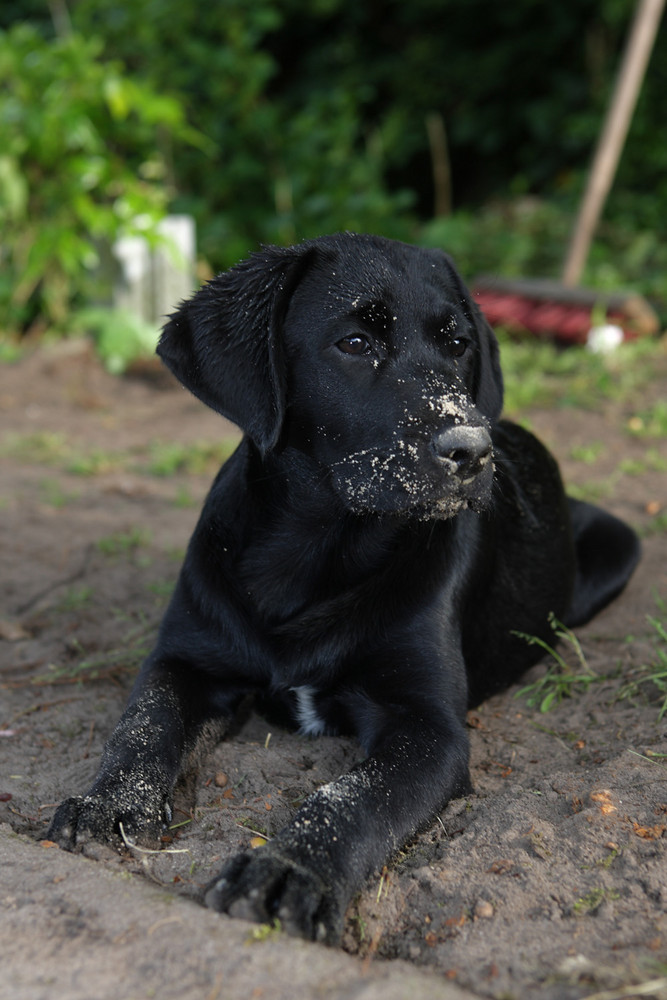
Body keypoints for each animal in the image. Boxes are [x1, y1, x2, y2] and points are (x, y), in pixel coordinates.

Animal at [48, 234, 640, 944]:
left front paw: (288, 871)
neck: (313, 557)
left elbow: (354, 800)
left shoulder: (428, 728)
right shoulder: (186, 657)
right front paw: (109, 801)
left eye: (458, 344)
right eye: (355, 343)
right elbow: (143, 722)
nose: (475, 452)